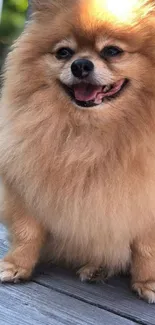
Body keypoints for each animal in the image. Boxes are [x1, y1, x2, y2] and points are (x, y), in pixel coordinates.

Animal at [0, 0, 155, 302]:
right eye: (63, 52)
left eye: (112, 51)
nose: (80, 64)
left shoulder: (145, 204)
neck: (89, 136)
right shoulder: (25, 187)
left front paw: (149, 282)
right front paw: (16, 266)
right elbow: (27, 233)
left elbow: (146, 247)